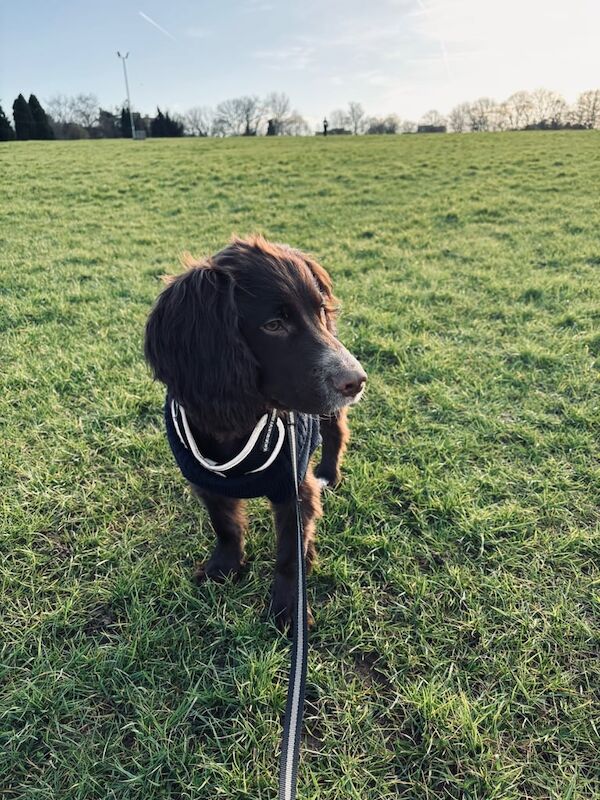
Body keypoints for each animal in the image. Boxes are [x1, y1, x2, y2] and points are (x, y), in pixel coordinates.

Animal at [145, 234, 368, 628]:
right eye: (273, 325)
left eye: (319, 311)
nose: (356, 380)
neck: (238, 422)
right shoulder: (206, 481)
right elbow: (226, 526)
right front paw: (224, 569)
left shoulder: (295, 488)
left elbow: (290, 554)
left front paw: (289, 608)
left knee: (335, 435)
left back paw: (329, 473)